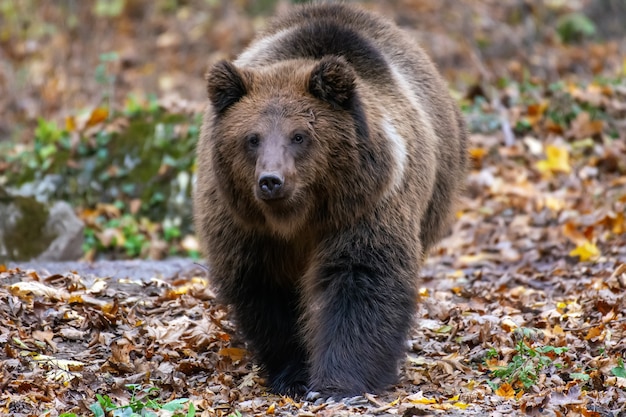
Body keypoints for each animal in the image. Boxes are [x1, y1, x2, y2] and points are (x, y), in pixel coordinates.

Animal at [193, 2, 466, 396]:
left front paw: (338, 382)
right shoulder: (244, 224)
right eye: (252, 138)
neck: (299, 217)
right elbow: (266, 289)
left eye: (299, 136)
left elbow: (361, 280)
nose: (271, 181)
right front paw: (292, 373)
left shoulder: (367, 206)